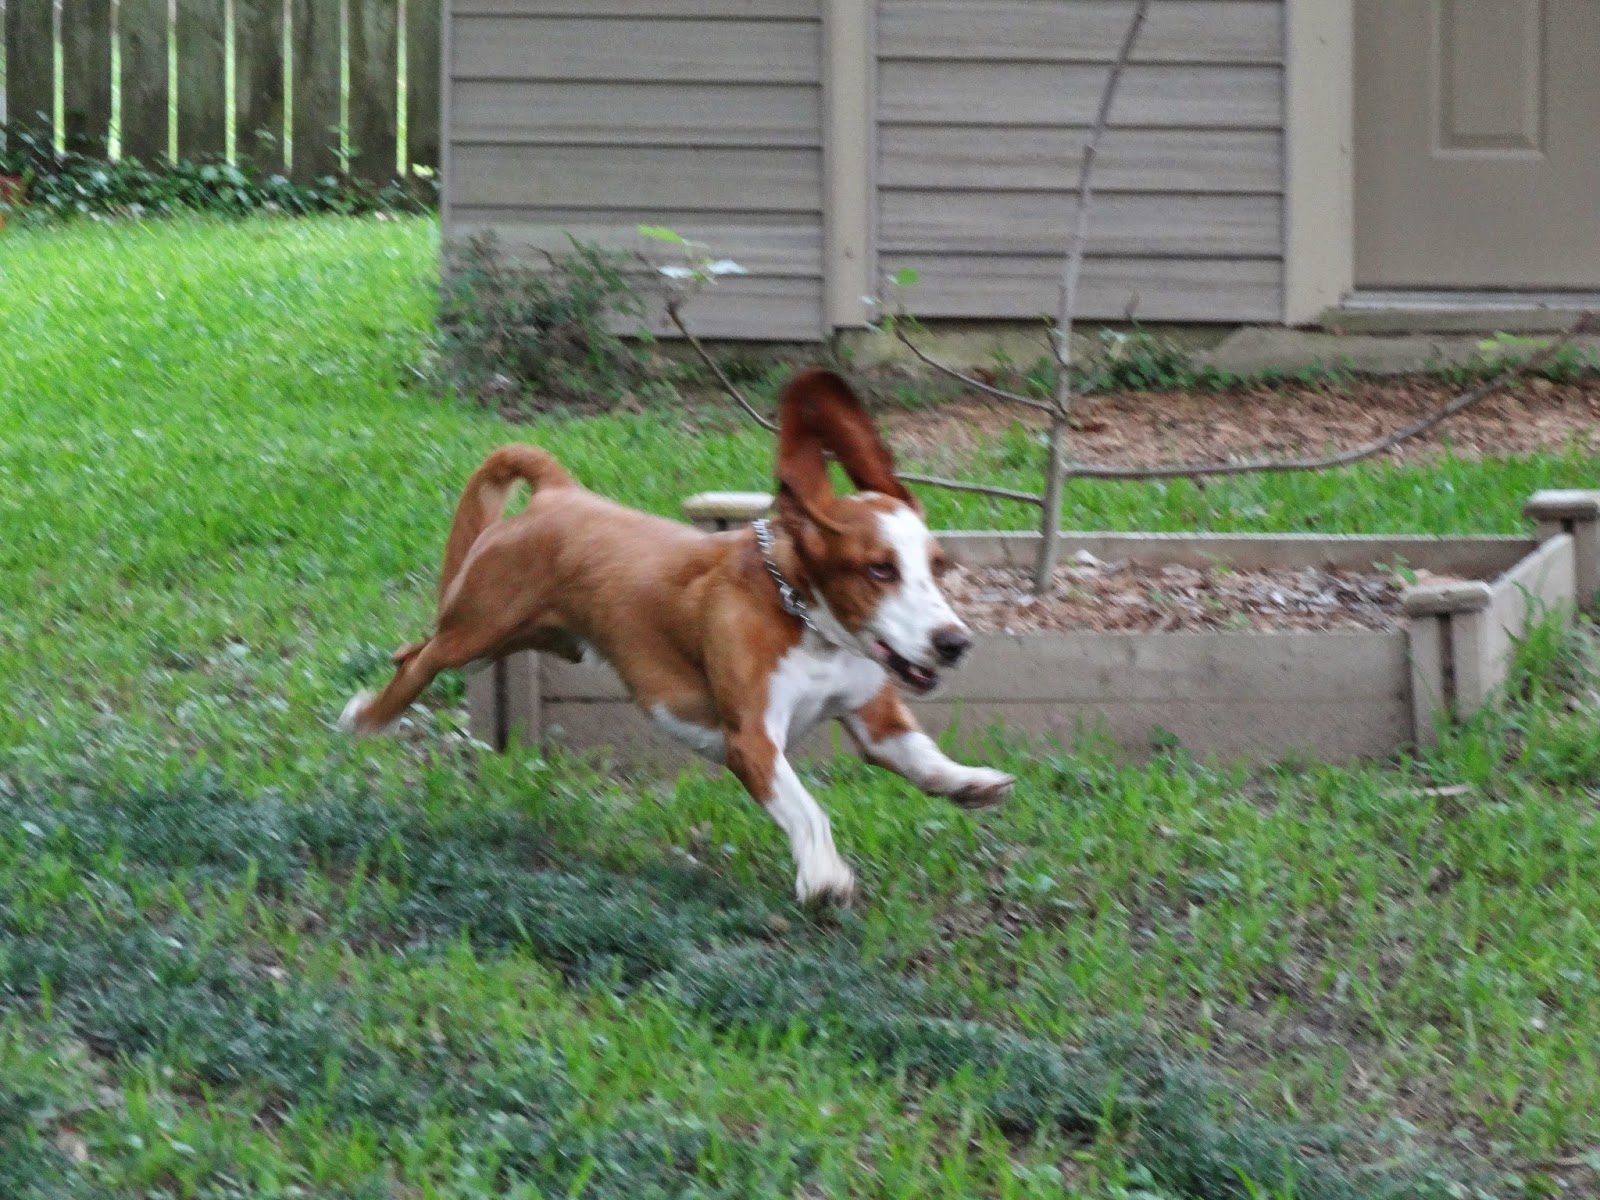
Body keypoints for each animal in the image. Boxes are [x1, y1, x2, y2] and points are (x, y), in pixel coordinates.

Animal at [340, 368, 1014, 905]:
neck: (804, 619)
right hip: (474, 632)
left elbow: (921, 757)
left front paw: (968, 782)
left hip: (513, 640)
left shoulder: (874, 716)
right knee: (416, 660)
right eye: (879, 569)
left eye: (938, 566)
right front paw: (823, 876)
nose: (955, 642)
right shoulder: (751, 742)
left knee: (410, 650)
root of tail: (559, 491)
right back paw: (366, 719)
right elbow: (808, 810)